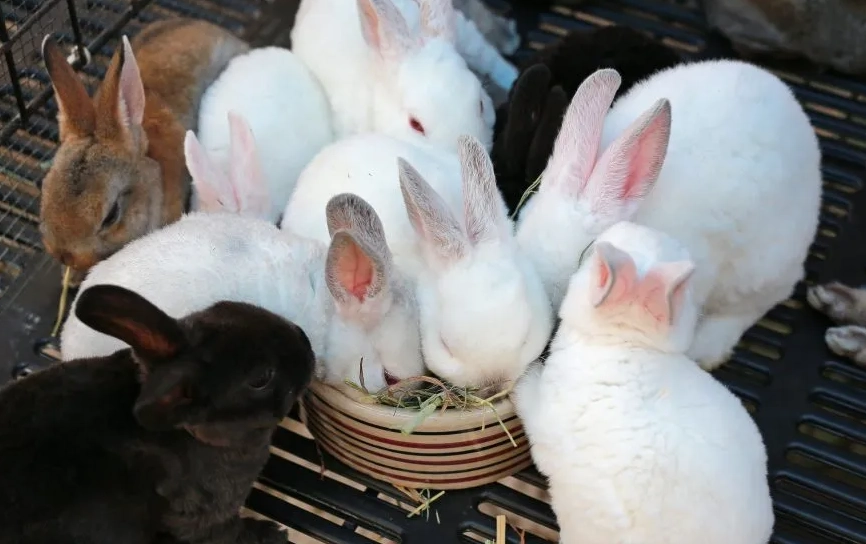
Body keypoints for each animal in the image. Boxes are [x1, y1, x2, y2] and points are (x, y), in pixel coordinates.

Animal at [0, 283, 314, 543]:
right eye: (261, 378)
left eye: (230, 306)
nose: (305, 340)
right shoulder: (205, 518)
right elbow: (228, 532)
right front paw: (272, 533)